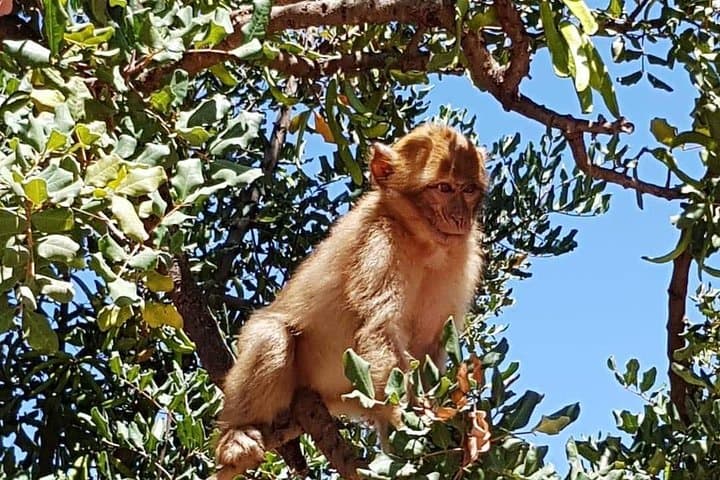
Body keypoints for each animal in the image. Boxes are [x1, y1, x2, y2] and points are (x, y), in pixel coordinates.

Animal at [215, 123, 487, 477]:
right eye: (443, 188)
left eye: (468, 190)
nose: (459, 217)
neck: (421, 240)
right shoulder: (380, 241)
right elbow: (379, 328)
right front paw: (407, 422)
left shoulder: (463, 257)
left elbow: (431, 344)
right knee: (273, 336)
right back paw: (235, 435)